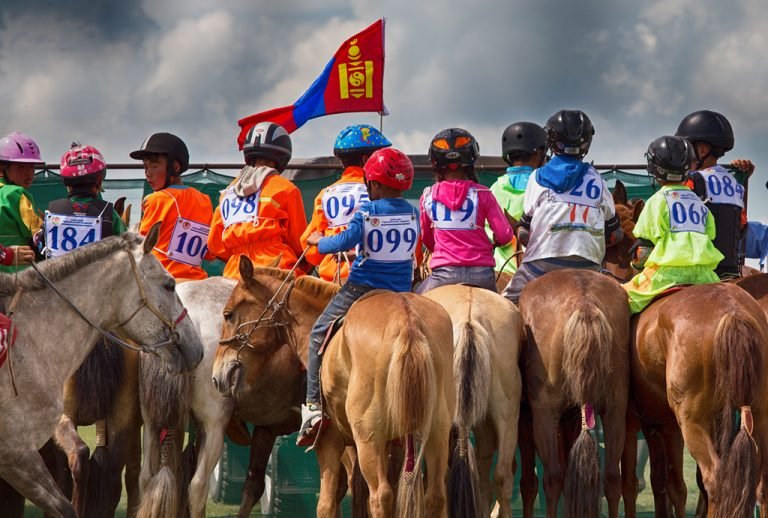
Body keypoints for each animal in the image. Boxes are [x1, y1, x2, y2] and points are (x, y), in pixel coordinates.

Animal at [212, 257, 456, 517]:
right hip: (436, 431)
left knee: (380, 495)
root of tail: (408, 321)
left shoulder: (329, 439)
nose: (217, 375)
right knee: (436, 494)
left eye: (228, 314)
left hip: (369, 438)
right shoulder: (390, 445)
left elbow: (327, 502)